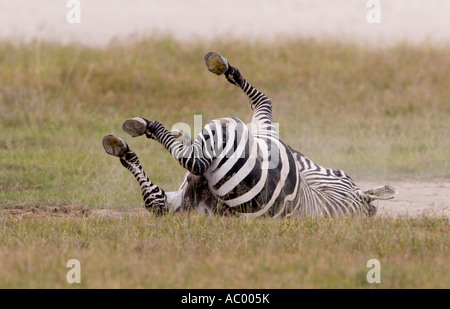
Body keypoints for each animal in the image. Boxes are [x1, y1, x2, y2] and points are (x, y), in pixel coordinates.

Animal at [103, 51, 398, 215]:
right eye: (341, 173)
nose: (299, 154)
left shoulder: (264, 131)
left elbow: (263, 101)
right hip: (179, 202)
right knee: (154, 198)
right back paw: (122, 147)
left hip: (228, 149)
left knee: (193, 162)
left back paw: (139, 129)